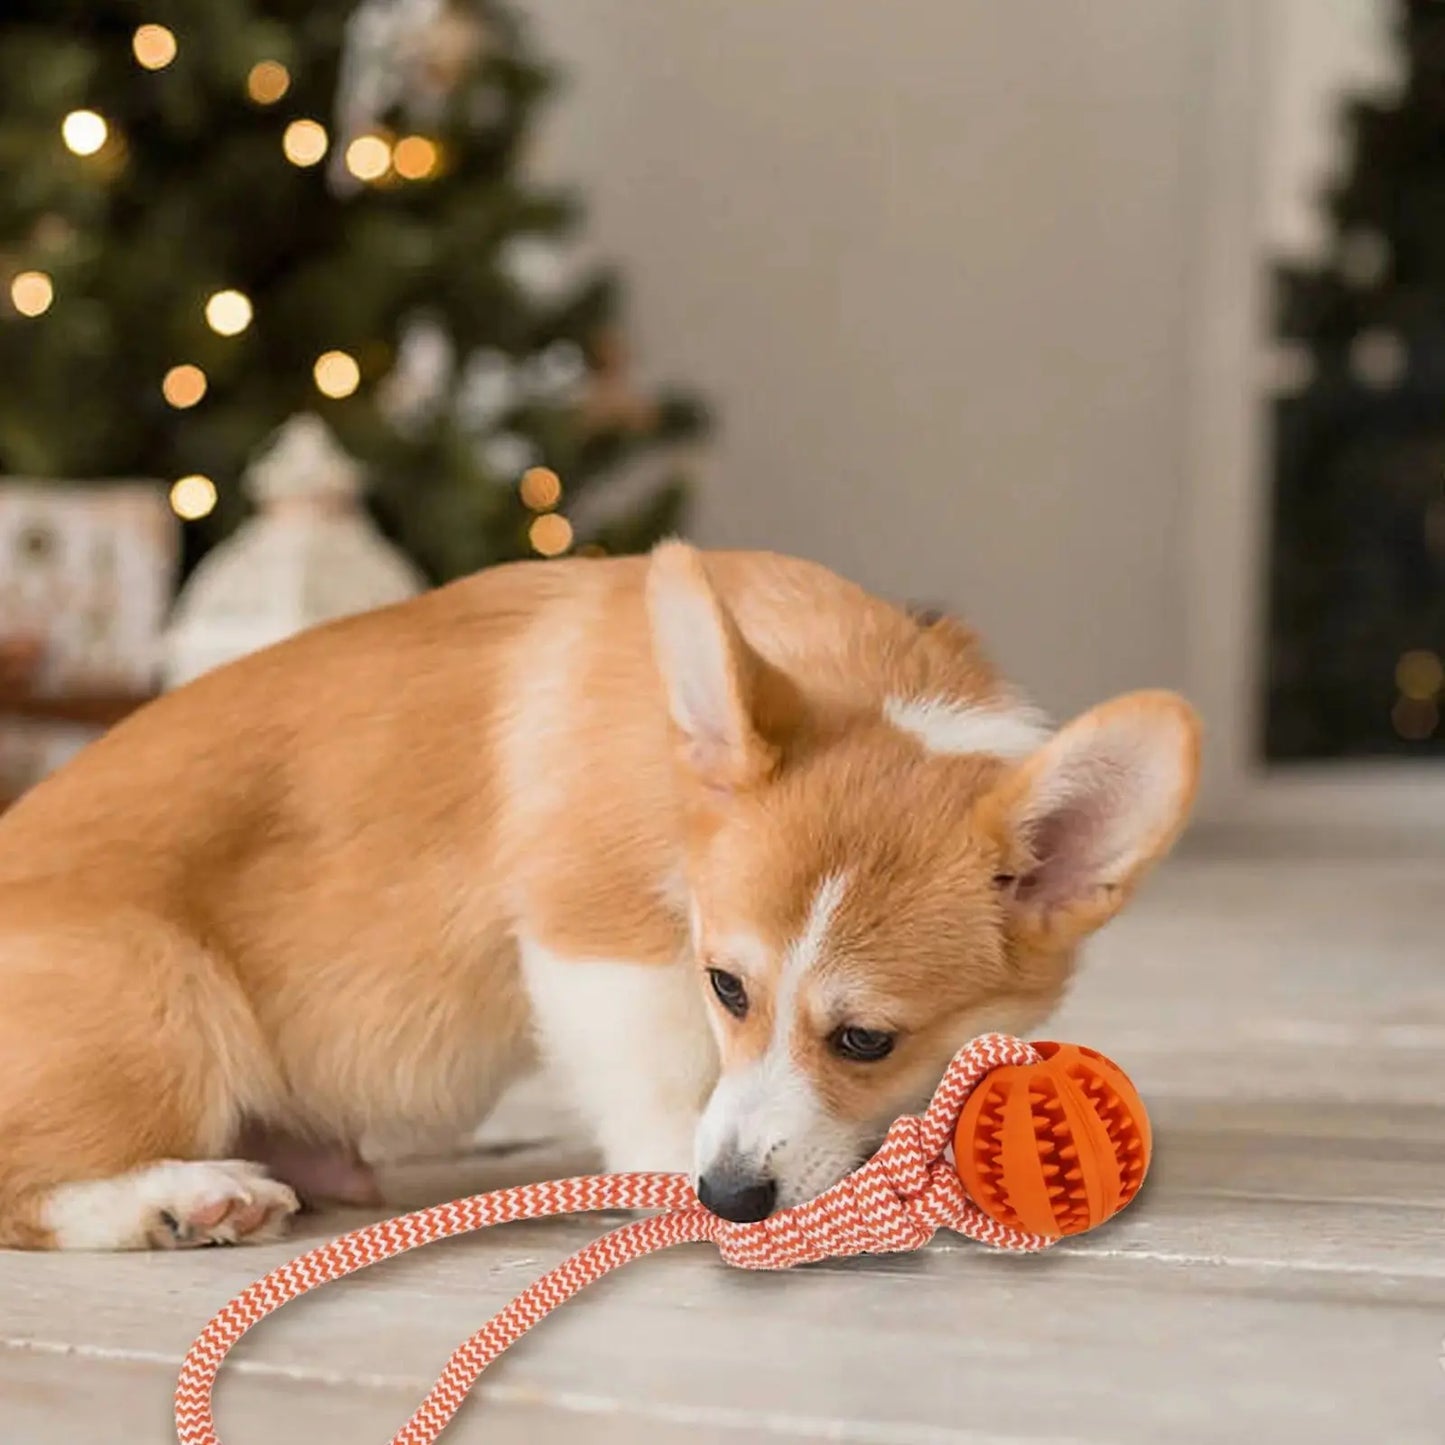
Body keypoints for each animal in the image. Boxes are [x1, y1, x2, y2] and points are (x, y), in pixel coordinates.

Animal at [0, 546, 1202, 1248]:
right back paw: (181, 1197)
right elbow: (657, 1078)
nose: (731, 1197)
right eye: (725, 986)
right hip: (162, 994)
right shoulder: (600, 936)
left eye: (865, 1040)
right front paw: (674, 1182)